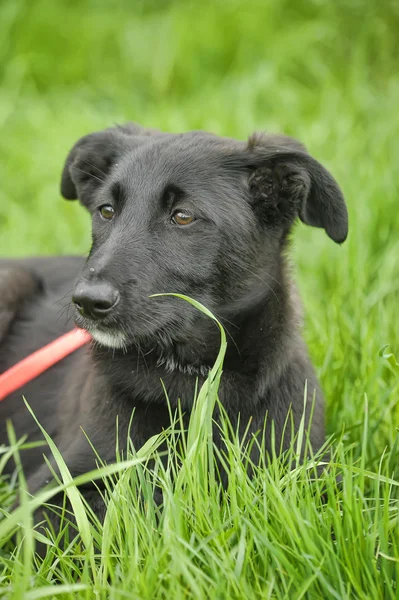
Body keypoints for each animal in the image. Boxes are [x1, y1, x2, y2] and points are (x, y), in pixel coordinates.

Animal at [0, 122, 346, 540]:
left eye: (182, 217)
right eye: (106, 210)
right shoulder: (54, 485)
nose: (87, 302)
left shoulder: (306, 470)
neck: (189, 379)